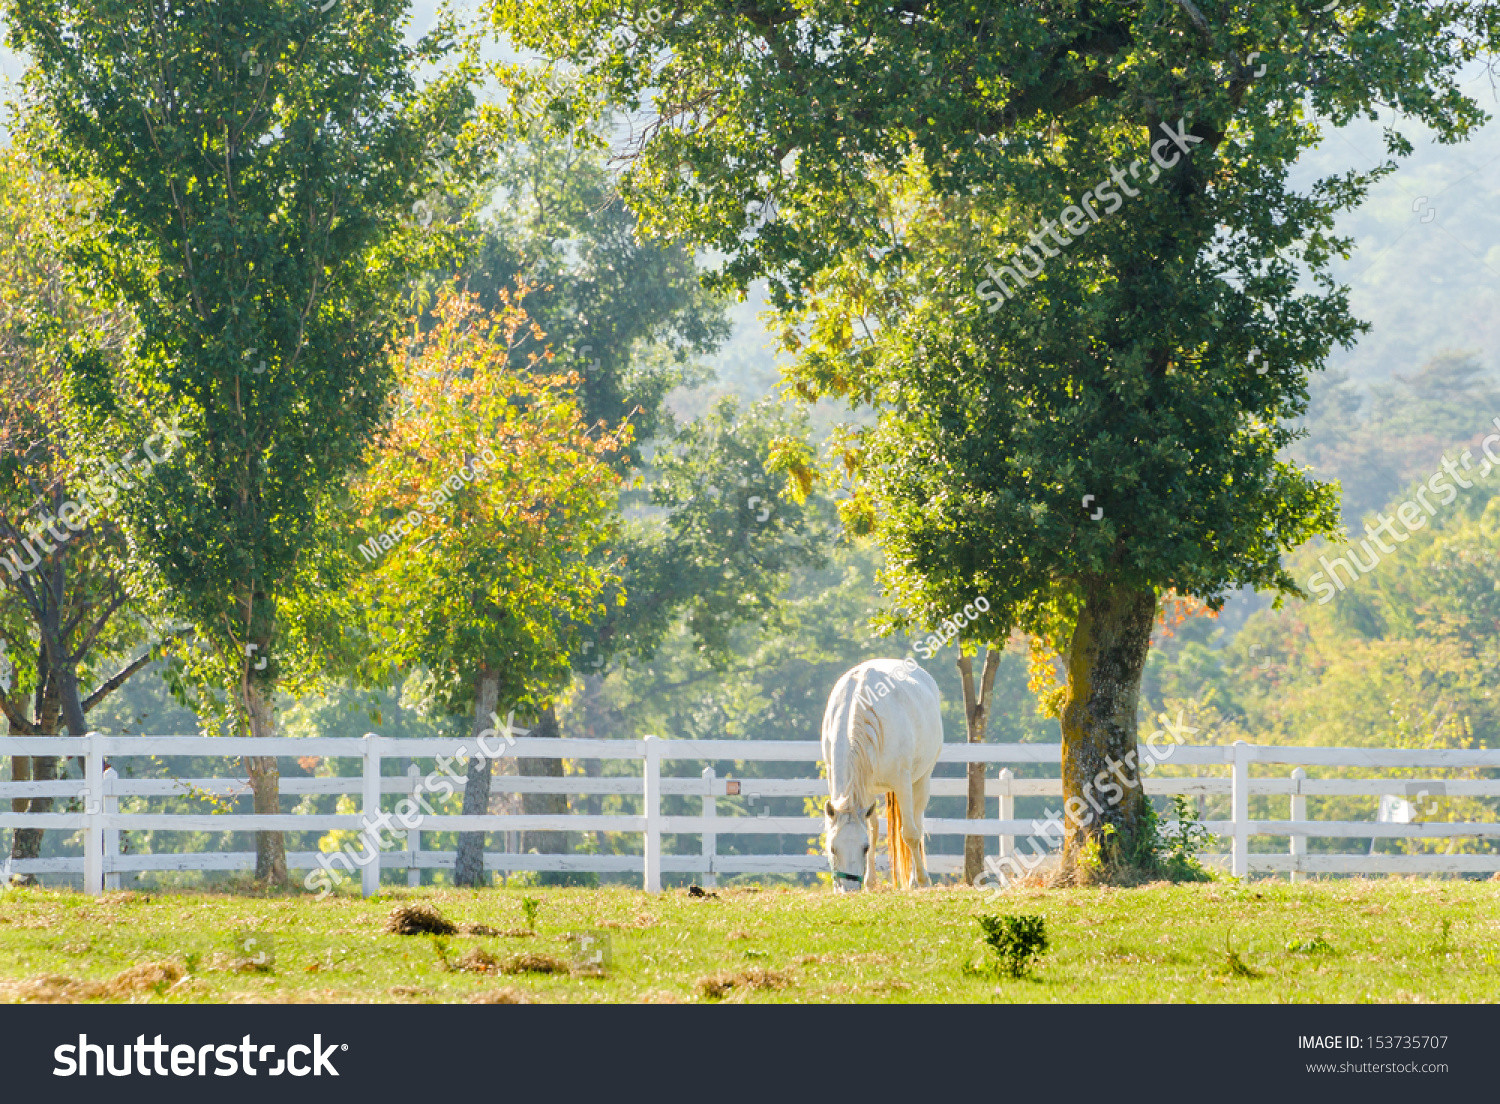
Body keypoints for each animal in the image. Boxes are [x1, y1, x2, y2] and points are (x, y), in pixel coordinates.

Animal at [822, 654, 936, 888]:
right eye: (833, 848)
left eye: (864, 848)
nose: (849, 889)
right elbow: (872, 830)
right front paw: (870, 882)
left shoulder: (902, 782)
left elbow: (910, 834)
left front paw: (921, 880)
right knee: (874, 826)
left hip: (921, 780)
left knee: (917, 824)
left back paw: (916, 879)